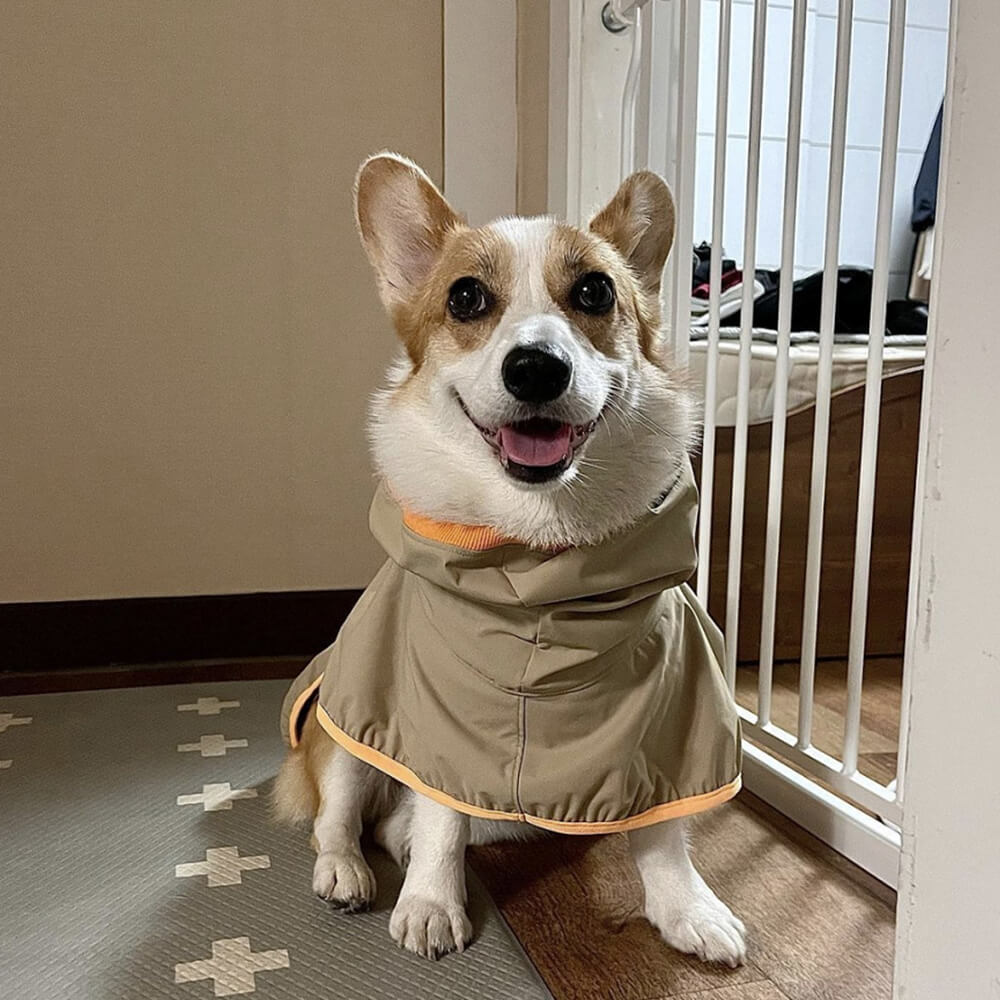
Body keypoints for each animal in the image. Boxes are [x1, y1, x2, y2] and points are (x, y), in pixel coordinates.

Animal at [274, 154, 744, 968]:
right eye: (465, 297)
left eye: (595, 291)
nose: (535, 369)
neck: (539, 561)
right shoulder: (432, 718)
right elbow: (441, 813)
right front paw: (432, 902)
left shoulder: (674, 719)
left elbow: (663, 831)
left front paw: (688, 909)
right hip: (347, 713)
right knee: (339, 811)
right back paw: (347, 869)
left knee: (391, 821)